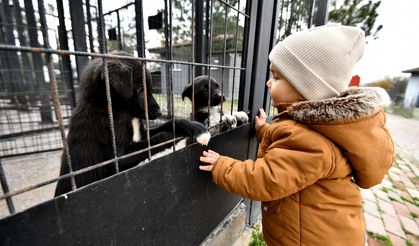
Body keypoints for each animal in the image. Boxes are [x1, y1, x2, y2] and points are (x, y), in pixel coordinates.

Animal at [55, 51, 210, 196]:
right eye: (141, 90)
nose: (159, 112)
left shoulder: (142, 133)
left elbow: (172, 122)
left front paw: (195, 127)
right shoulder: (118, 159)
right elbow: (159, 137)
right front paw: (175, 134)